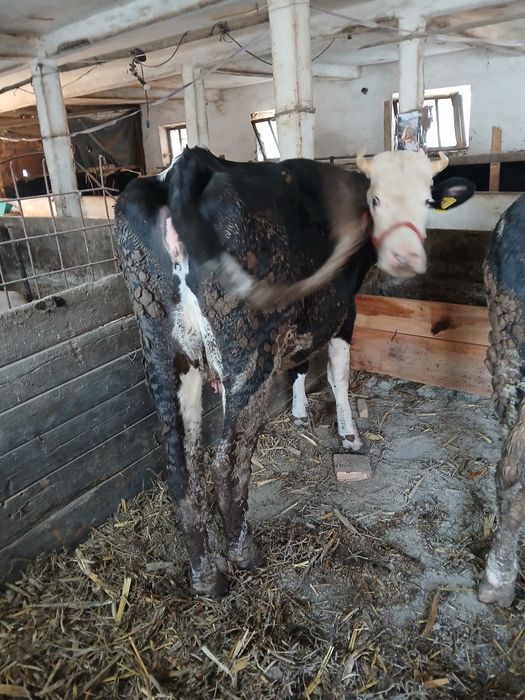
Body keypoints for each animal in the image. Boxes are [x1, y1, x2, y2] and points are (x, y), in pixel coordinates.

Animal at [114, 147, 474, 596]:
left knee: (182, 465)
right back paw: (243, 553)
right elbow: (338, 373)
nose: (405, 257)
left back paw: (206, 575)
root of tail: (187, 166)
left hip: (162, 349)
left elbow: (300, 366)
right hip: (249, 351)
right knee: (227, 460)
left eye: (427, 200)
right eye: (375, 201)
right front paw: (349, 435)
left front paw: (301, 412)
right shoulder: (340, 308)